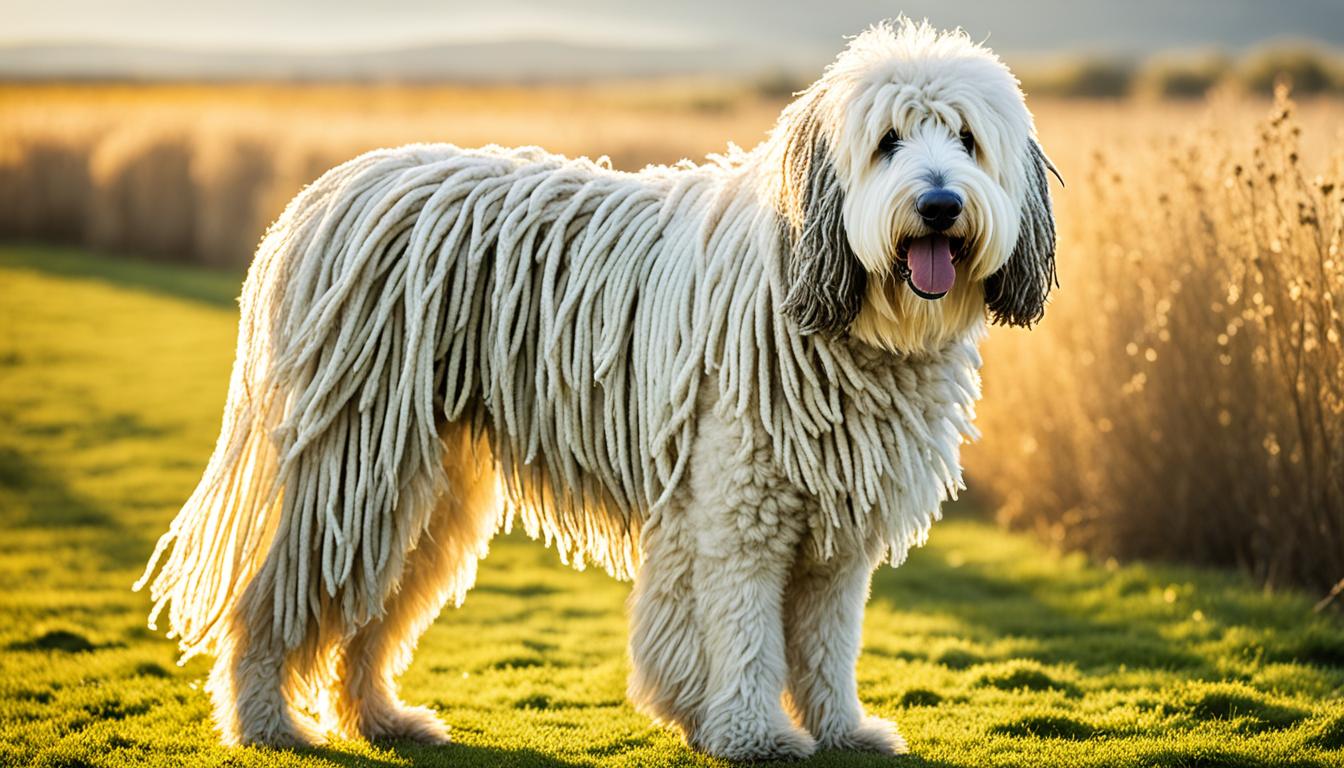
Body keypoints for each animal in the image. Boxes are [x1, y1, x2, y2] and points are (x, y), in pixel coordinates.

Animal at [139, 17, 1059, 763]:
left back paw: (380, 719)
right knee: (275, 603)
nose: (939, 205)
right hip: (352, 469)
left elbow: (826, 642)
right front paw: (750, 732)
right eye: (889, 141)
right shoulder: (739, 510)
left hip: (419, 490)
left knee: (371, 617)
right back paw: (265, 722)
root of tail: (320, 198)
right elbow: (745, 634)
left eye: (966, 140)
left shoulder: (833, 534)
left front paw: (841, 730)